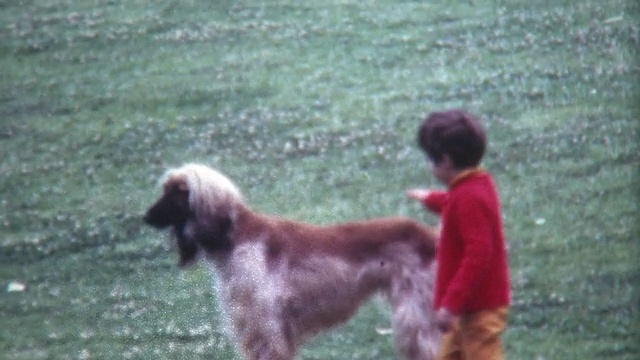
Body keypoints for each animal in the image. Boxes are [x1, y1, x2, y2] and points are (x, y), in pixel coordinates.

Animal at [144, 164, 440, 360]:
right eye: (164, 190)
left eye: (175, 194)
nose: (145, 217)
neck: (235, 237)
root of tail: (430, 236)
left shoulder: (266, 324)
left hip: (416, 311)